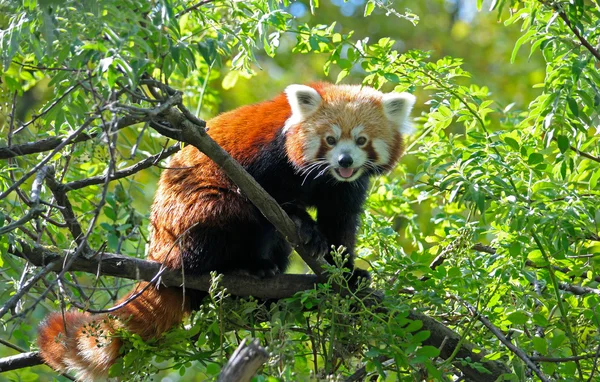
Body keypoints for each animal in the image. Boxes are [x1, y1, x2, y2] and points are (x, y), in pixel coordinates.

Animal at [36, 83, 412, 380]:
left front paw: (346, 275)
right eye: (330, 139)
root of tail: (158, 256)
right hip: (195, 217)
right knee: (233, 217)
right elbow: (267, 196)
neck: (321, 175)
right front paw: (304, 223)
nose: (345, 161)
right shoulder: (266, 157)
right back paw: (244, 267)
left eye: (361, 140)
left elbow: (341, 225)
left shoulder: (344, 187)